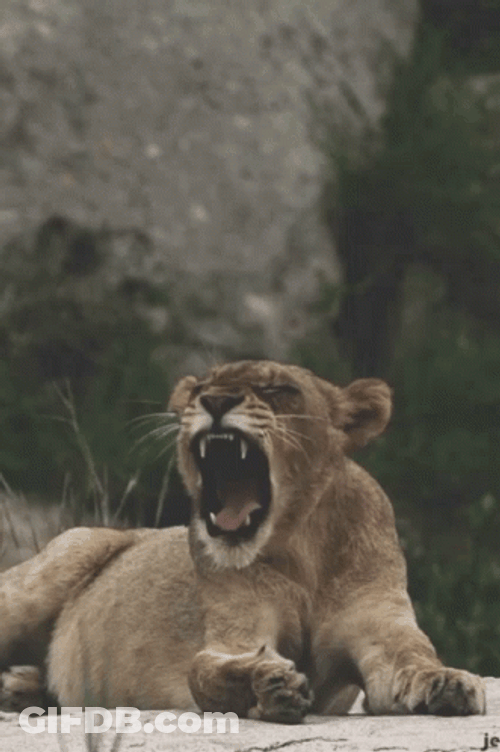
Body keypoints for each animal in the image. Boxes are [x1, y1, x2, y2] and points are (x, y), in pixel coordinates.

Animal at [0, 360, 486, 721]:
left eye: (277, 388)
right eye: (201, 387)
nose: (214, 400)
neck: (300, 549)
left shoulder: (380, 628)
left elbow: (414, 658)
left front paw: (446, 683)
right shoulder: (235, 632)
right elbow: (205, 671)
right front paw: (268, 684)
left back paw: (22, 687)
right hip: (54, 566)